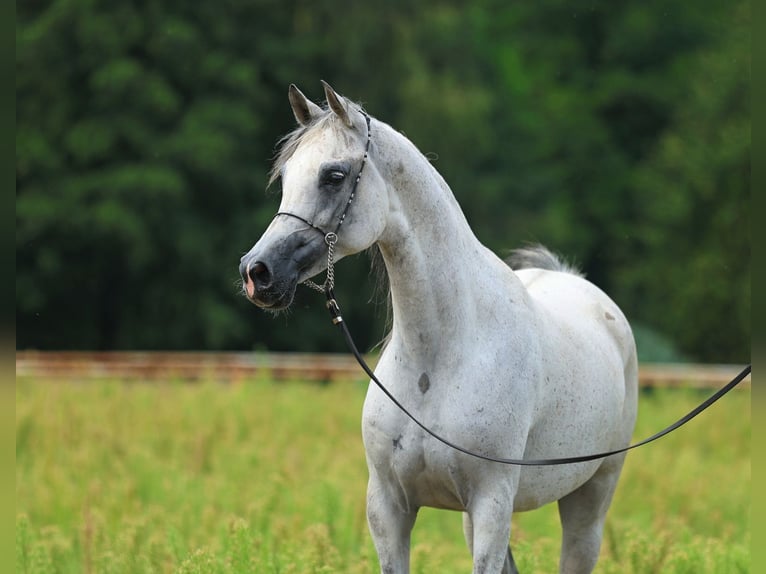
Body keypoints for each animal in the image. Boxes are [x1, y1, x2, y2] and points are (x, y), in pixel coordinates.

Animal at [242, 82, 640, 574]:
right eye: (285, 177)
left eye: (333, 175)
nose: (257, 273)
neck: (438, 358)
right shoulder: (390, 508)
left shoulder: (491, 504)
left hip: (590, 498)